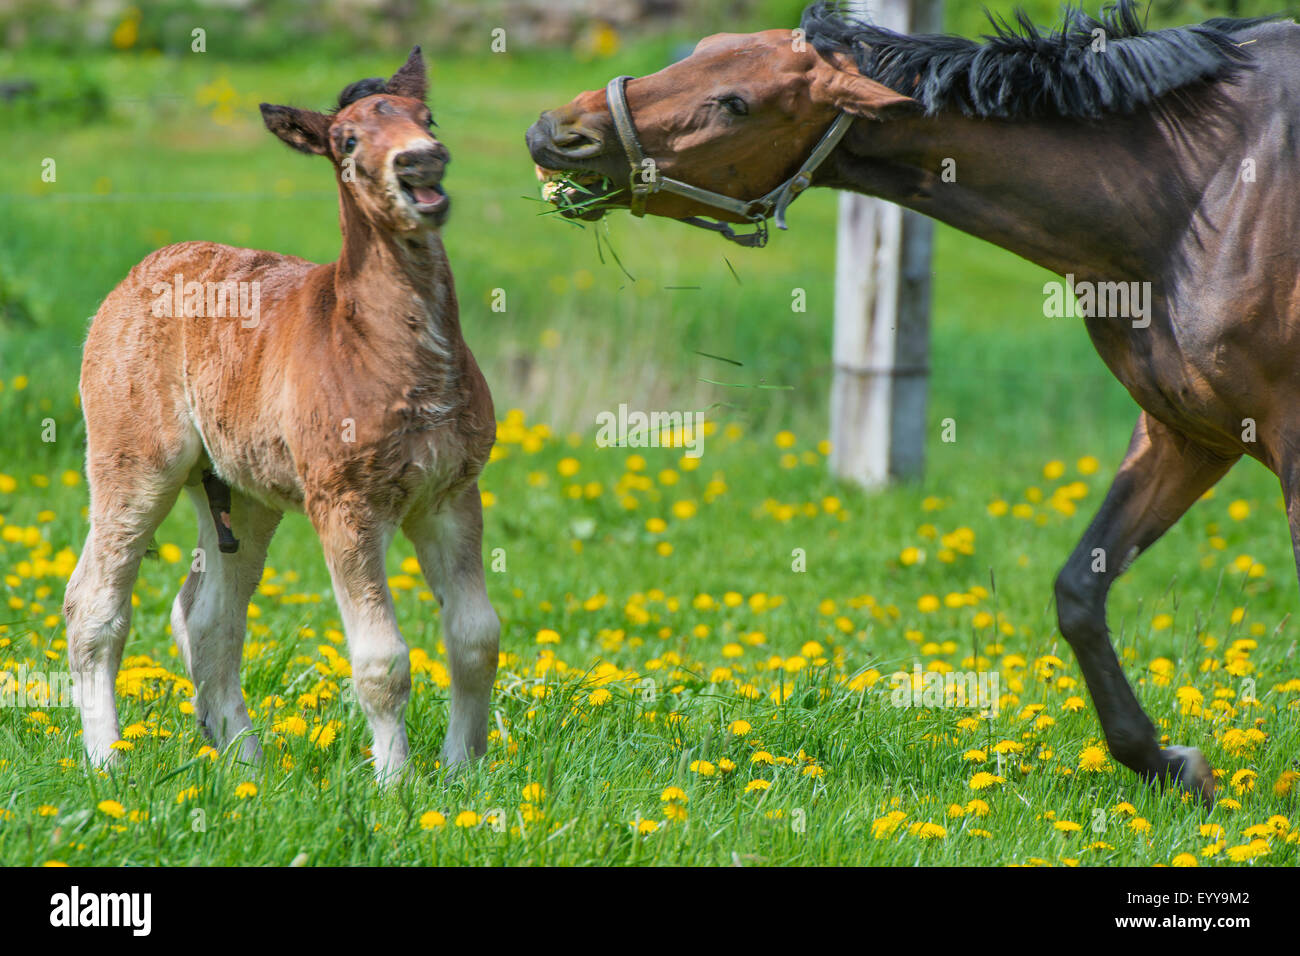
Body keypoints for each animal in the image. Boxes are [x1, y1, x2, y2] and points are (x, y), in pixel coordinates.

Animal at [63, 49, 500, 783]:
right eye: (346, 142)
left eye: (428, 118)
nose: (420, 163)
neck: (384, 348)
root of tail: (134, 277)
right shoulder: (345, 503)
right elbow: (382, 659)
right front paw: (395, 783)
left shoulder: (451, 495)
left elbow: (475, 638)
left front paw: (462, 774)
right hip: (135, 465)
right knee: (94, 603)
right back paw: (107, 760)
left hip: (240, 495)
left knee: (207, 617)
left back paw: (244, 762)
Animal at [525, 0, 1300, 807]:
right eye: (701, 48)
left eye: (736, 103)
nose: (556, 131)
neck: (1204, 194)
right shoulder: (1187, 432)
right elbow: (1079, 593)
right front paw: (1170, 764)